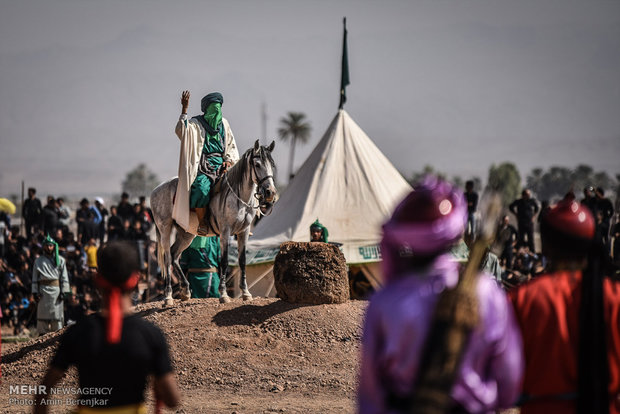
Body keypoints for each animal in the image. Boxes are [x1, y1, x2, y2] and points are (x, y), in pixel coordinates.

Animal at [150, 141, 276, 306]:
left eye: (272, 165)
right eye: (257, 164)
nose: (270, 192)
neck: (238, 197)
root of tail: (155, 191)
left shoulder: (243, 232)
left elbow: (242, 261)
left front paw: (246, 293)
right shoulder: (225, 232)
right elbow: (224, 262)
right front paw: (223, 294)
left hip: (186, 234)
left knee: (174, 255)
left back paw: (186, 291)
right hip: (165, 229)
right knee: (168, 258)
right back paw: (169, 297)